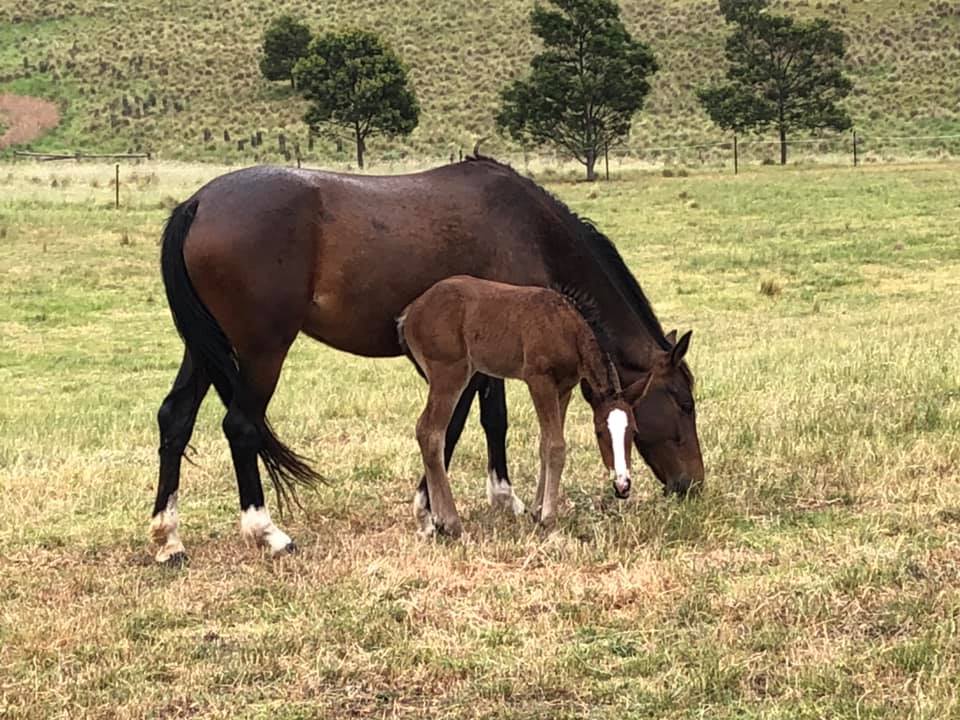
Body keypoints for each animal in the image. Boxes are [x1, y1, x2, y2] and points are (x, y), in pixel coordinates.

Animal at [398, 278, 660, 536]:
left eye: (634, 432)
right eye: (599, 432)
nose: (623, 485)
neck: (567, 327)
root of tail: (411, 311)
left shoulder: (564, 388)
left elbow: (546, 443)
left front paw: (537, 511)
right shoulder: (539, 381)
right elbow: (556, 446)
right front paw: (549, 520)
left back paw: (439, 521)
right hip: (449, 374)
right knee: (430, 432)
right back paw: (451, 524)